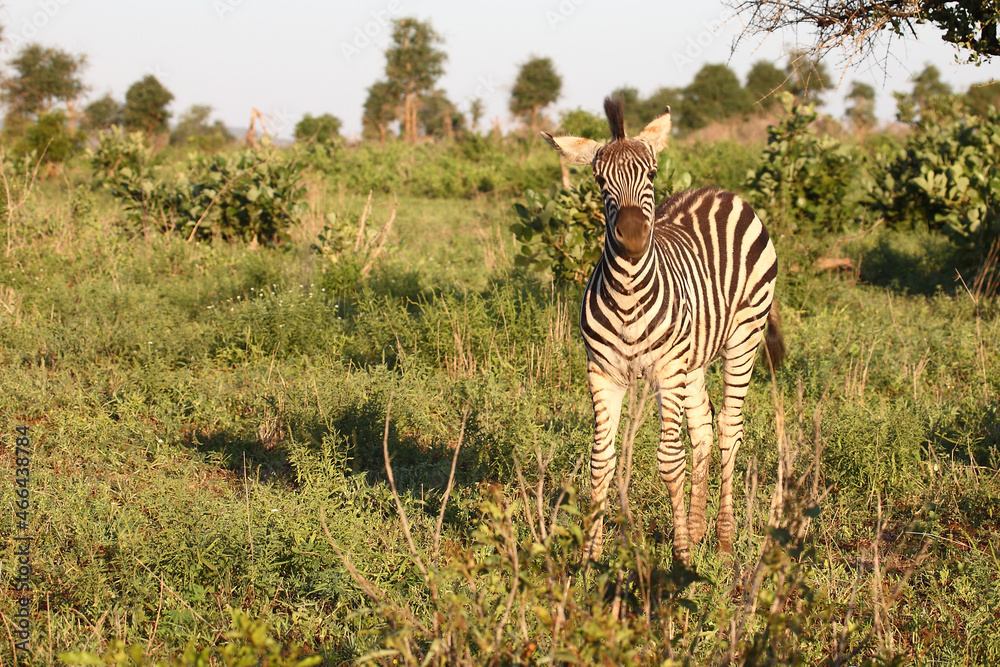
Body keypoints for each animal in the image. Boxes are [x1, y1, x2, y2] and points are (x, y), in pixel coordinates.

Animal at [541, 97, 784, 564]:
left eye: (651, 175)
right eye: (599, 180)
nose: (633, 236)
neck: (628, 294)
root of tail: (720, 192)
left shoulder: (666, 371)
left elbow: (670, 460)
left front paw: (682, 556)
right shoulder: (603, 374)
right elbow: (601, 459)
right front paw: (590, 557)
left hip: (743, 336)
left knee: (729, 429)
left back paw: (723, 540)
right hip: (693, 359)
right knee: (703, 427)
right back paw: (699, 526)